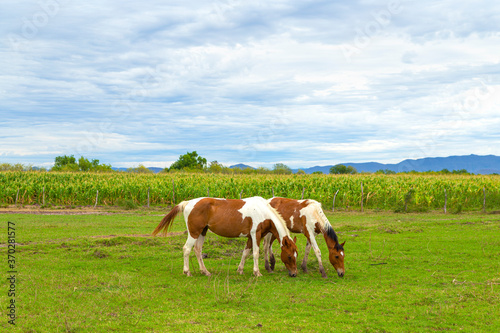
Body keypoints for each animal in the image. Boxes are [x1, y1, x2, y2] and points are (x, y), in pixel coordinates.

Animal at [152, 196, 298, 276]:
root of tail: (187, 203)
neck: (264, 213)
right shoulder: (255, 234)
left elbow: (245, 253)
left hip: (202, 232)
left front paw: (240, 270)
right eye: (289, 256)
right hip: (194, 233)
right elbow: (256, 253)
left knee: (198, 250)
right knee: (187, 249)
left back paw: (205, 271)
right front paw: (257, 272)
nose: (294, 274)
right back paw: (187, 272)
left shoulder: (250, 237)